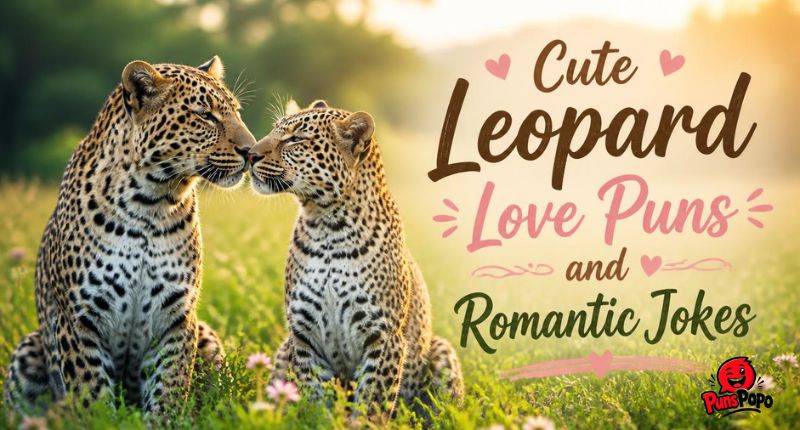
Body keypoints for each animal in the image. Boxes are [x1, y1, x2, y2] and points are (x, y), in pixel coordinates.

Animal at [4, 56, 256, 415]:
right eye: (205, 115)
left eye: (236, 111)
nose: (252, 151)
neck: (151, 203)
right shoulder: (78, 320)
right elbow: (92, 394)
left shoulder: (176, 318)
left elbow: (169, 389)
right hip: (28, 348)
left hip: (207, 336)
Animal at [248, 100, 464, 420]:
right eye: (275, 131)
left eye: (296, 139)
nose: (249, 153)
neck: (327, 226)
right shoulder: (303, 335)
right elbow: (314, 400)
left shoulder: (384, 336)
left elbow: (371, 404)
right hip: (283, 349)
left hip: (442, 351)